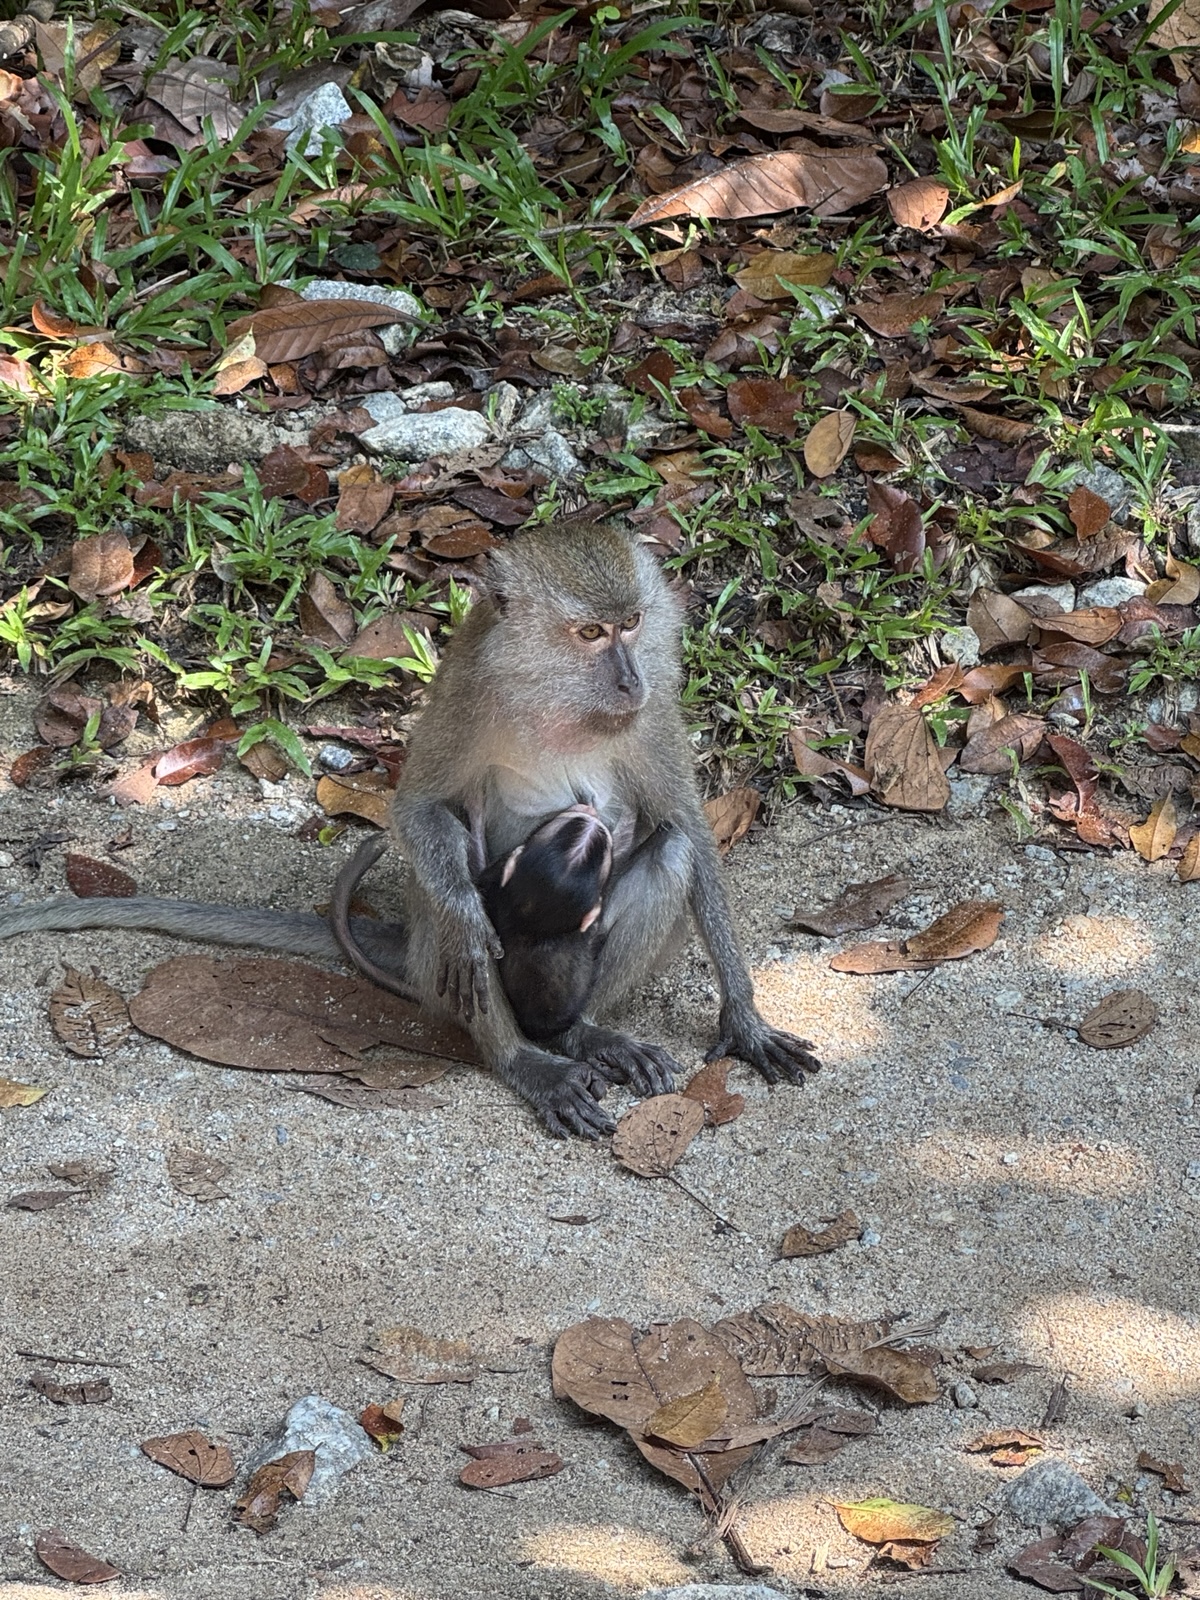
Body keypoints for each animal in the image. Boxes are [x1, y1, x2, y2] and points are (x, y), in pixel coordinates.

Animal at [0, 519, 820, 1137]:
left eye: (633, 625)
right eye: (590, 632)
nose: (629, 679)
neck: (559, 705)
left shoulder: (651, 719)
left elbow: (687, 829)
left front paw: (744, 1020)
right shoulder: (468, 692)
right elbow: (422, 811)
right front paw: (465, 912)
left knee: (669, 851)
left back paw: (579, 1031)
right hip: (435, 961)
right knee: (457, 924)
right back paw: (525, 1056)